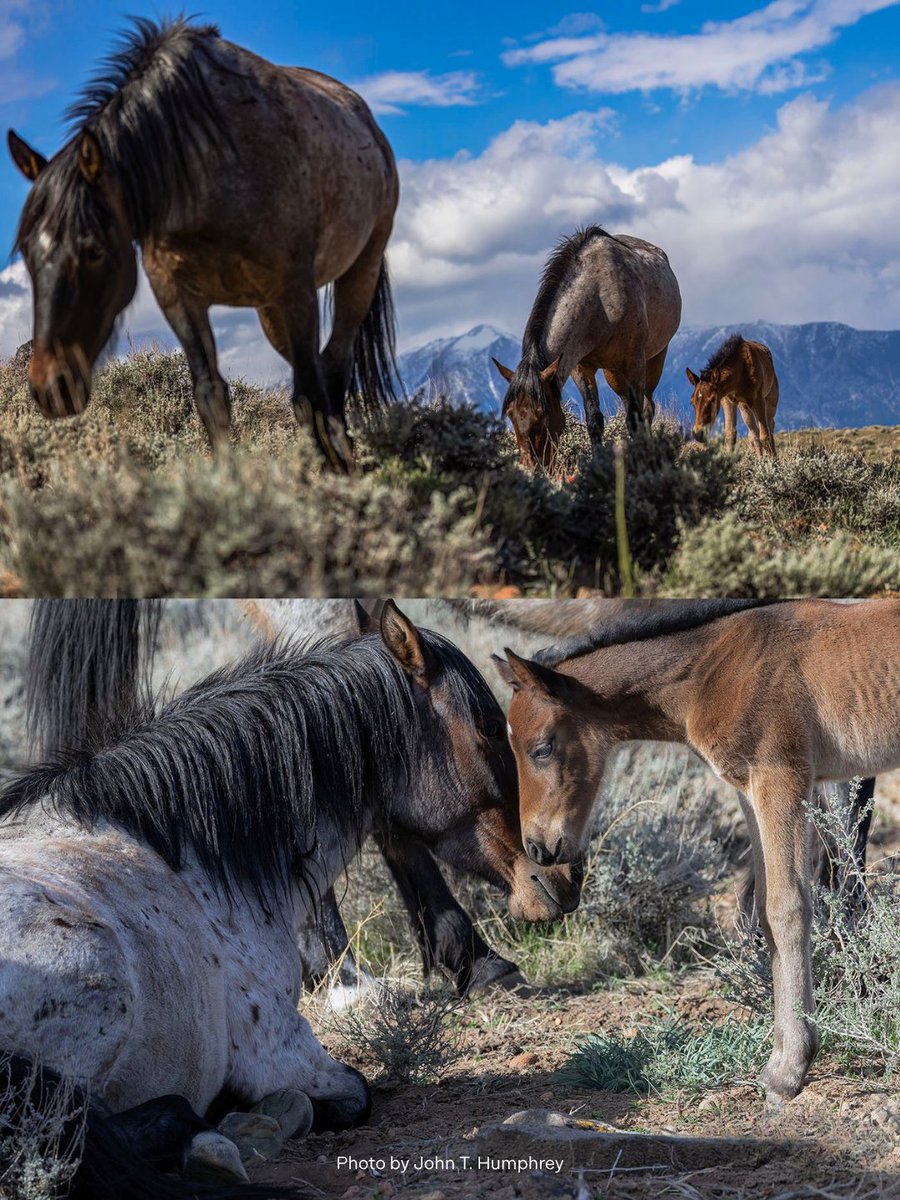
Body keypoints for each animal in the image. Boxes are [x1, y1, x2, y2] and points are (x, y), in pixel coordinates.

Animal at [7, 16, 400, 469]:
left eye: (93, 250)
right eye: (28, 254)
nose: (51, 388)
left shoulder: (295, 289)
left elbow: (309, 396)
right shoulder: (180, 298)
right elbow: (212, 397)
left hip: (358, 271)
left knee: (332, 373)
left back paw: (347, 467)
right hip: (269, 312)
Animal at [491, 227, 682, 472]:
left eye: (543, 412)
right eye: (510, 413)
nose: (532, 468)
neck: (600, 299)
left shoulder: (634, 362)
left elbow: (635, 419)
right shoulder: (581, 367)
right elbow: (594, 419)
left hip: (654, 359)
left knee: (647, 409)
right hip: (614, 373)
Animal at [495, 598, 900, 1100]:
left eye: (543, 748)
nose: (538, 847)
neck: (715, 670)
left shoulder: (782, 776)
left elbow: (788, 908)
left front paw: (790, 1068)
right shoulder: (748, 788)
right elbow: (763, 913)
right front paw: (777, 1059)